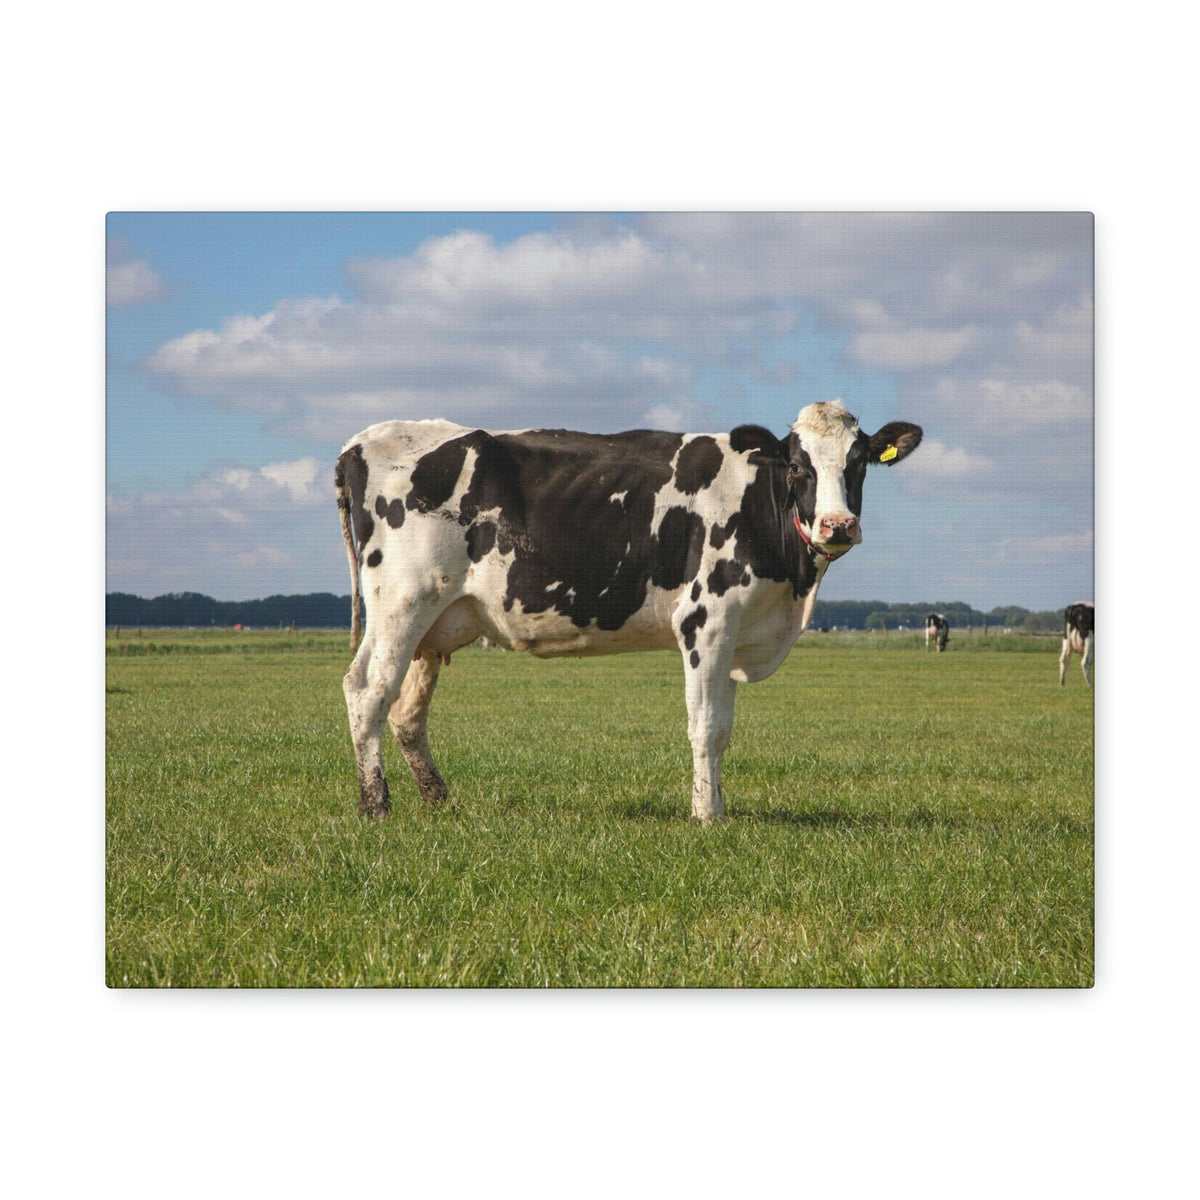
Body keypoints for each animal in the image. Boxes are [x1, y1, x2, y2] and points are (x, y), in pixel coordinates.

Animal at [336, 399, 922, 822]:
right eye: (798, 467)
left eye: (858, 464)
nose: (838, 525)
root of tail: (363, 442)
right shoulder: (706, 621)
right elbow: (705, 725)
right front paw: (707, 816)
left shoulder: (736, 631)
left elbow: (725, 728)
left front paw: (717, 806)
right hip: (401, 601)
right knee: (367, 690)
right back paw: (375, 805)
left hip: (433, 623)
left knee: (407, 712)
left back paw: (437, 799)